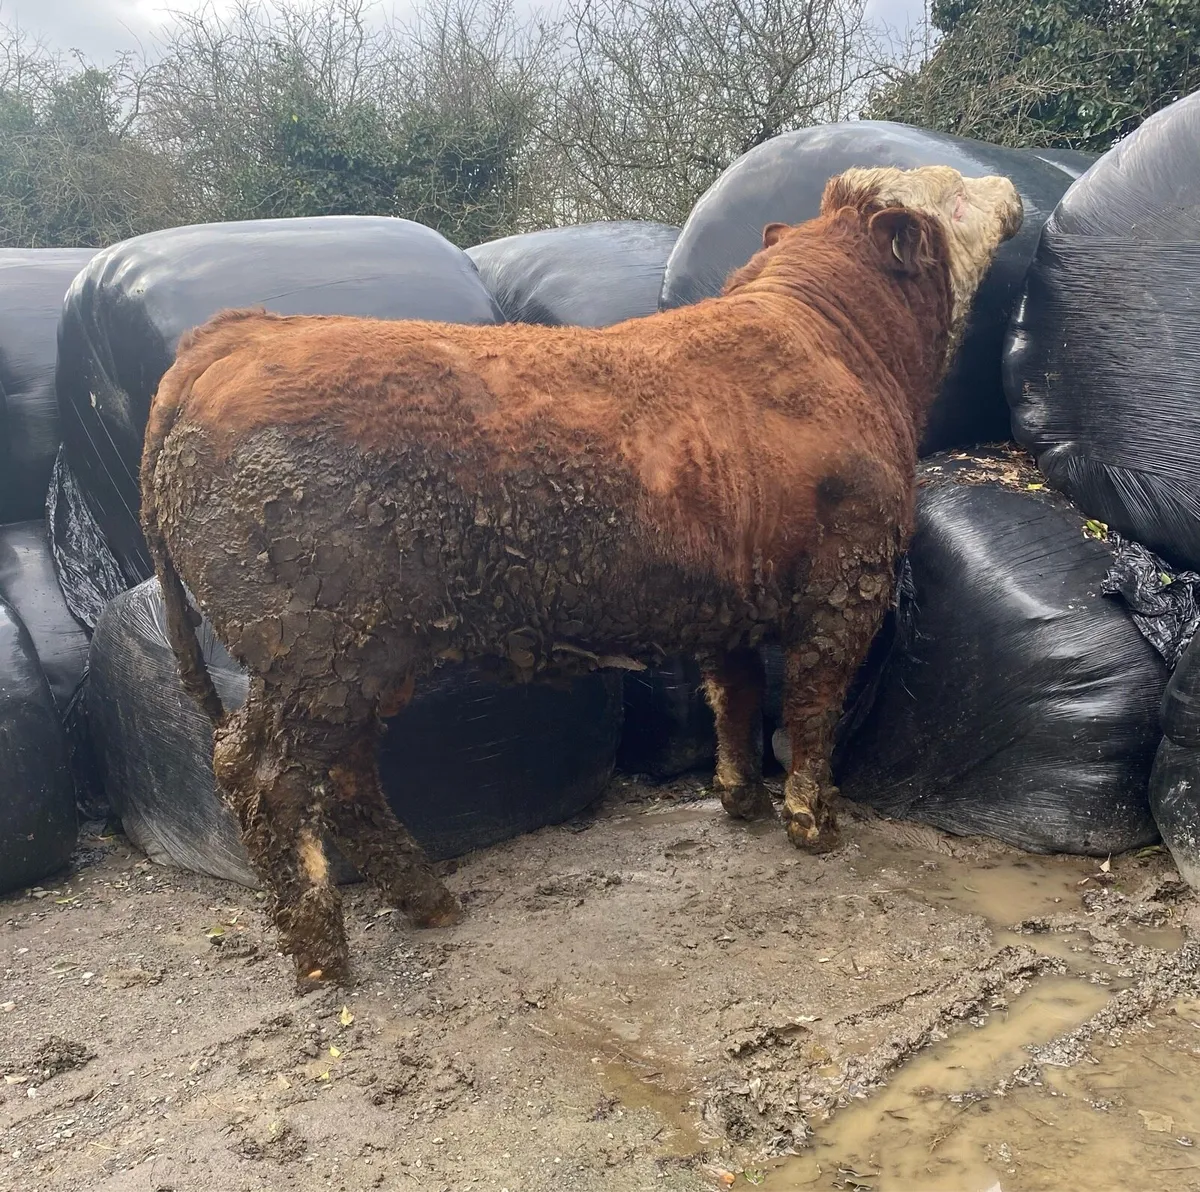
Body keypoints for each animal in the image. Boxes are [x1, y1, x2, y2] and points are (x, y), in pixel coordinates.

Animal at [140, 165, 1022, 988]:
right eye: (954, 194)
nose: (1008, 185)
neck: (835, 348)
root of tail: (237, 336)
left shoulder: (728, 600)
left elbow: (735, 694)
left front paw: (739, 797)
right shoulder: (849, 579)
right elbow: (811, 705)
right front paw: (813, 821)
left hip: (362, 657)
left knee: (348, 775)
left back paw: (428, 899)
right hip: (315, 651)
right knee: (262, 775)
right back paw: (325, 954)